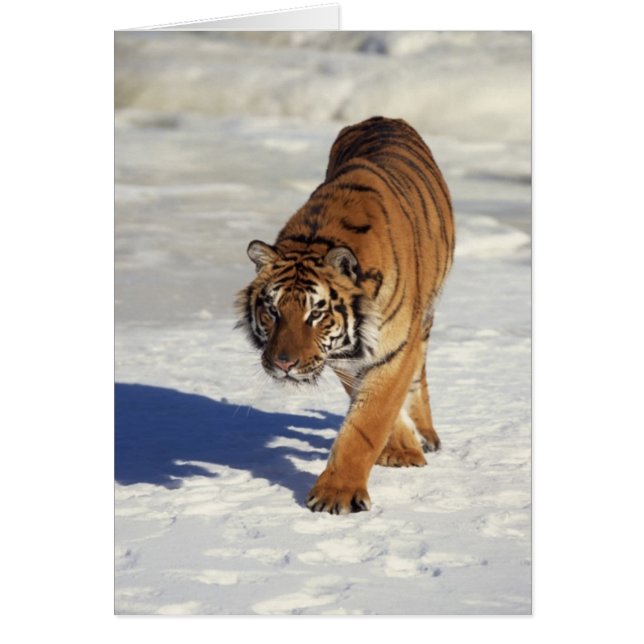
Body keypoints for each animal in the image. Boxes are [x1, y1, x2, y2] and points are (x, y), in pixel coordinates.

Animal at [236, 116, 455, 514]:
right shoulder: (345, 358)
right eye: (272, 311)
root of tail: (380, 117)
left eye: (316, 314)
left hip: (426, 317)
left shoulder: (396, 348)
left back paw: (428, 435)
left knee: (420, 373)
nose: (284, 363)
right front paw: (400, 449)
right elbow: (371, 410)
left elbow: (368, 422)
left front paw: (336, 494)